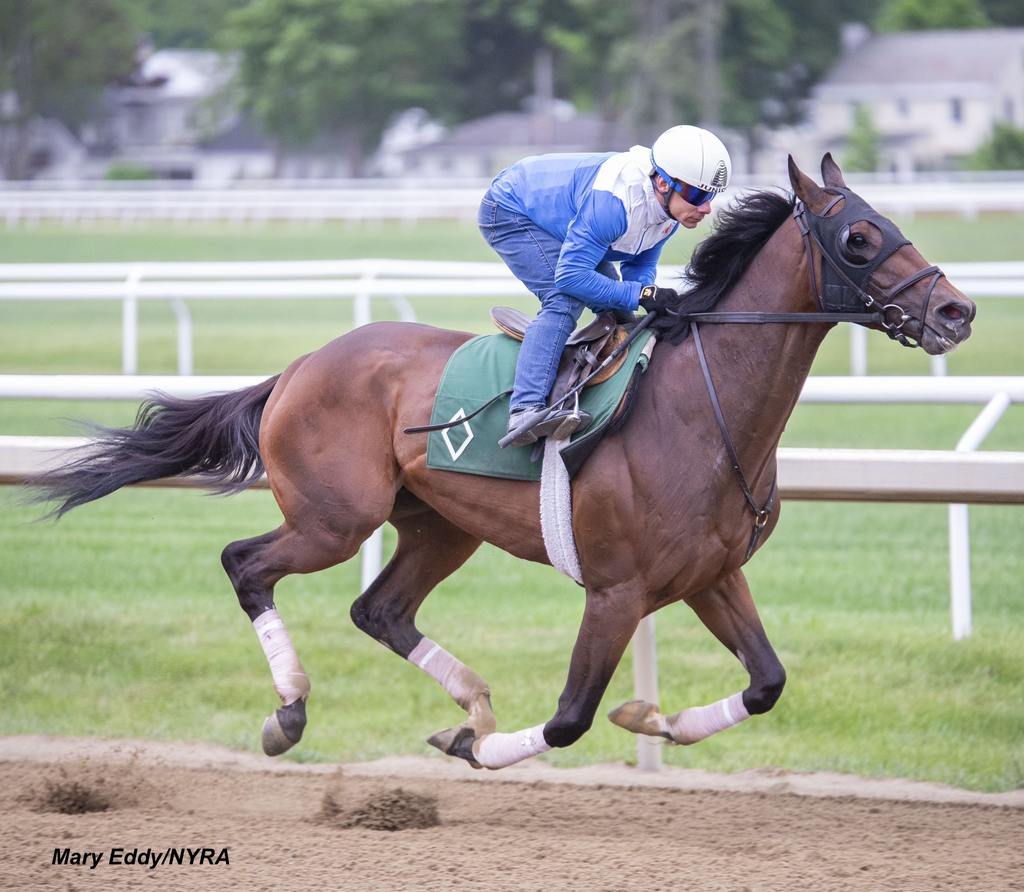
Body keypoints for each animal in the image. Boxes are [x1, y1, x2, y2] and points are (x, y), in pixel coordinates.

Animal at [34, 156, 974, 770]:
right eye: (860, 237)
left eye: (892, 223)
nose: (957, 311)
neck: (702, 412)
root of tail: (301, 366)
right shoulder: (617, 591)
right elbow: (568, 720)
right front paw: (483, 748)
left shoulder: (709, 575)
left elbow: (770, 681)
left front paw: (652, 719)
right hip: (336, 518)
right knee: (245, 564)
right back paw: (290, 711)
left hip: (440, 526)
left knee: (379, 610)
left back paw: (469, 699)